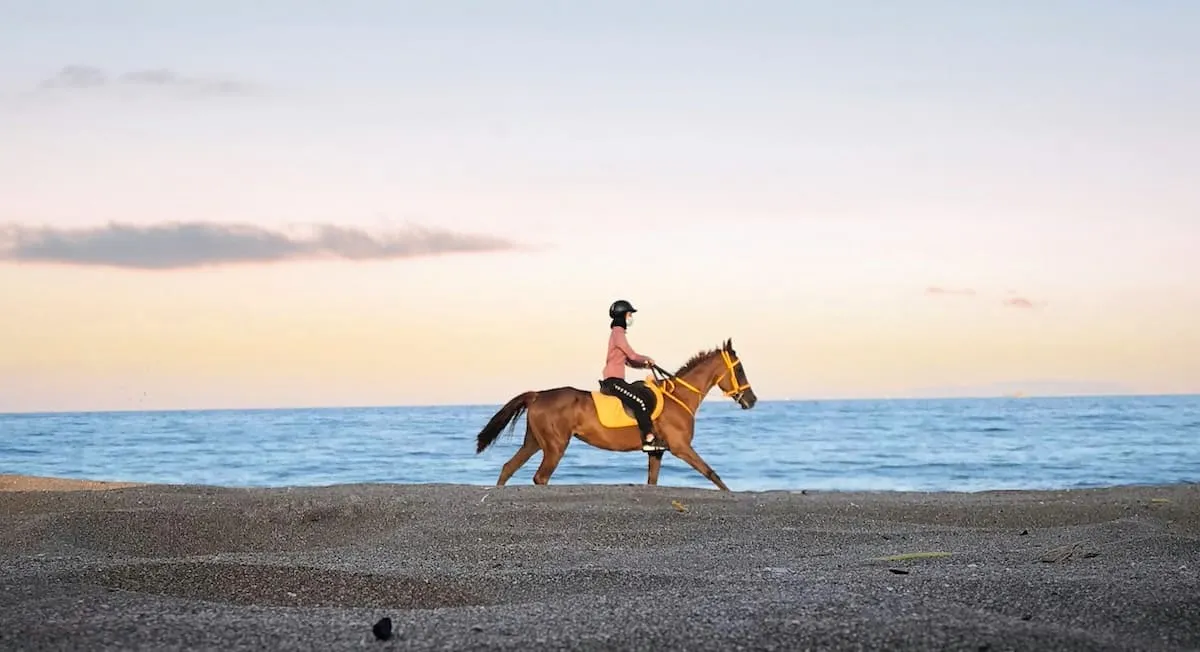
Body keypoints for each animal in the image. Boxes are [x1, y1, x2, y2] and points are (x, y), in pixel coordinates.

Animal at [474, 338, 757, 491]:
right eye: (739, 369)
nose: (752, 400)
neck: (679, 398)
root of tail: (538, 395)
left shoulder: (657, 451)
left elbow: (652, 481)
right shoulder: (680, 447)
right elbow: (711, 472)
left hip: (534, 441)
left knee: (508, 468)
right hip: (555, 446)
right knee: (540, 477)